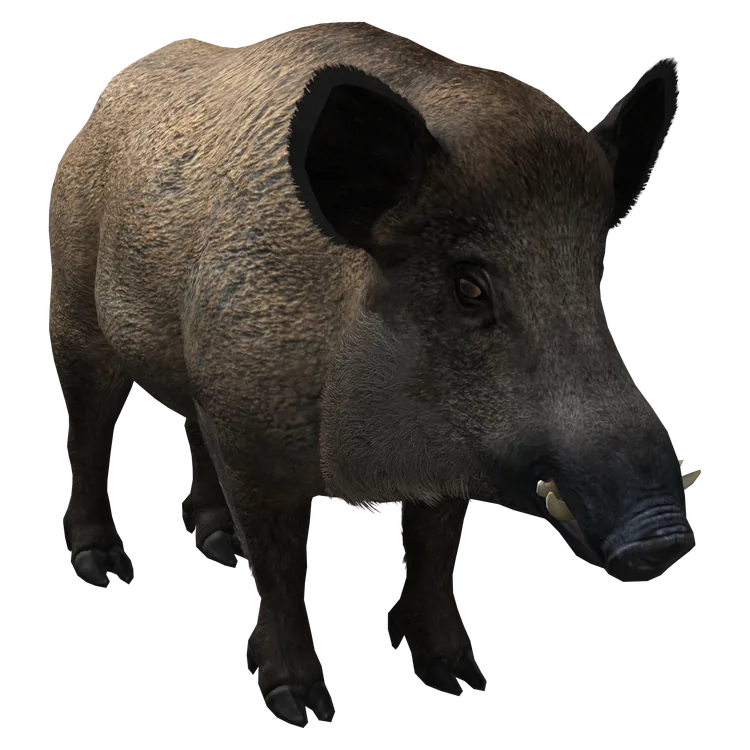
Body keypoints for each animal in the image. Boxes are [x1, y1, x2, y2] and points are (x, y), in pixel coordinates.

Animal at [48, 21, 692, 728]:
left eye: (593, 277)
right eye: (469, 286)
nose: (664, 535)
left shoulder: (449, 455)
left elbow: (434, 553)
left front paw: (459, 679)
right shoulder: (253, 435)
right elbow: (280, 567)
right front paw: (301, 706)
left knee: (187, 422)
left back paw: (216, 545)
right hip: (74, 303)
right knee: (89, 426)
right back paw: (102, 565)